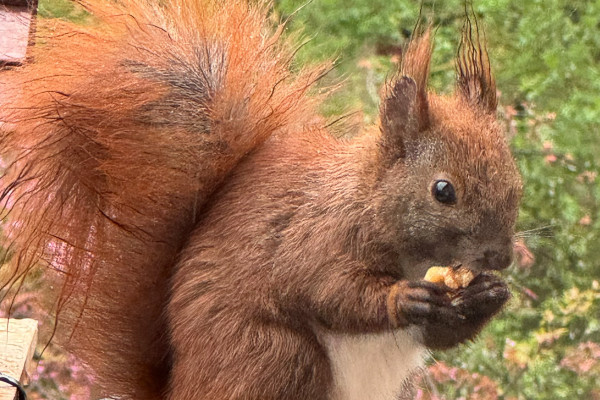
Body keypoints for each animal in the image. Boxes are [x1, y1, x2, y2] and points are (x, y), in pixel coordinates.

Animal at [0, 0, 520, 400]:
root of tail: (179, 388)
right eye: (443, 191)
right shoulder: (313, 236)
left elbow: (441, 332)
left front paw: (488, 295)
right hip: (272, 356)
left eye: (516, 179)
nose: (502, 258)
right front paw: (404, 296)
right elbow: (328, 289)